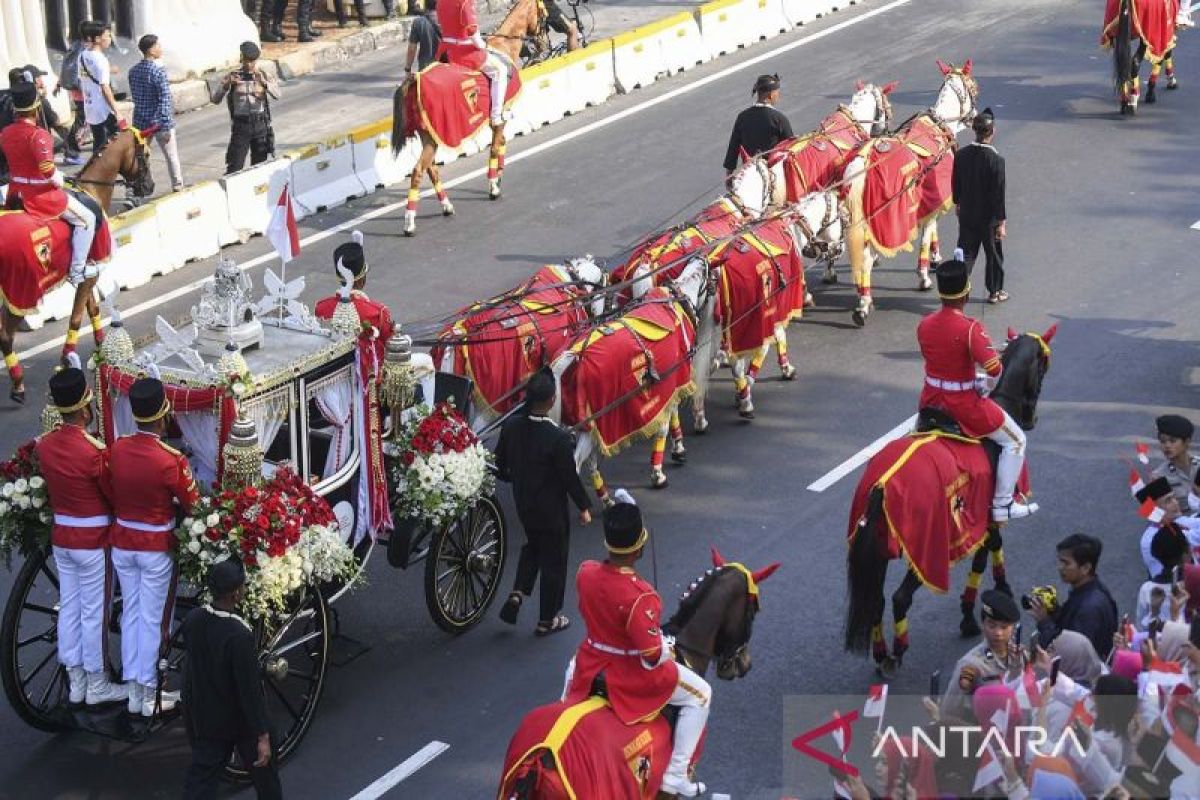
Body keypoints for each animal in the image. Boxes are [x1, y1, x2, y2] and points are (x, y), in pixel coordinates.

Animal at [0, 128, 154, 402]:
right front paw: (66, 359)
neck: (91, 188)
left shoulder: (86, 274)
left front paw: (102, 347)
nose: (149, 186)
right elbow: (75, 317)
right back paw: (17, 384)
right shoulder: (88, 273)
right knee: (6, 335)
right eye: (145, 153)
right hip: (21, 293)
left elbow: (91, 309)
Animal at [391, 0, 542, 236]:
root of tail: (415, 78)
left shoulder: (495, 121)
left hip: (428, 136)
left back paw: (446, 206)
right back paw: (409, 222)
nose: (542, 43)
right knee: (418, 171)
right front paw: (493, 185)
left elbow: (501, 143)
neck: (503, 46)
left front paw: (498, 175)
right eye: (544, 13)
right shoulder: (499, 115)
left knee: (431, 169)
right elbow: (495, 147)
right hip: (433, 138)